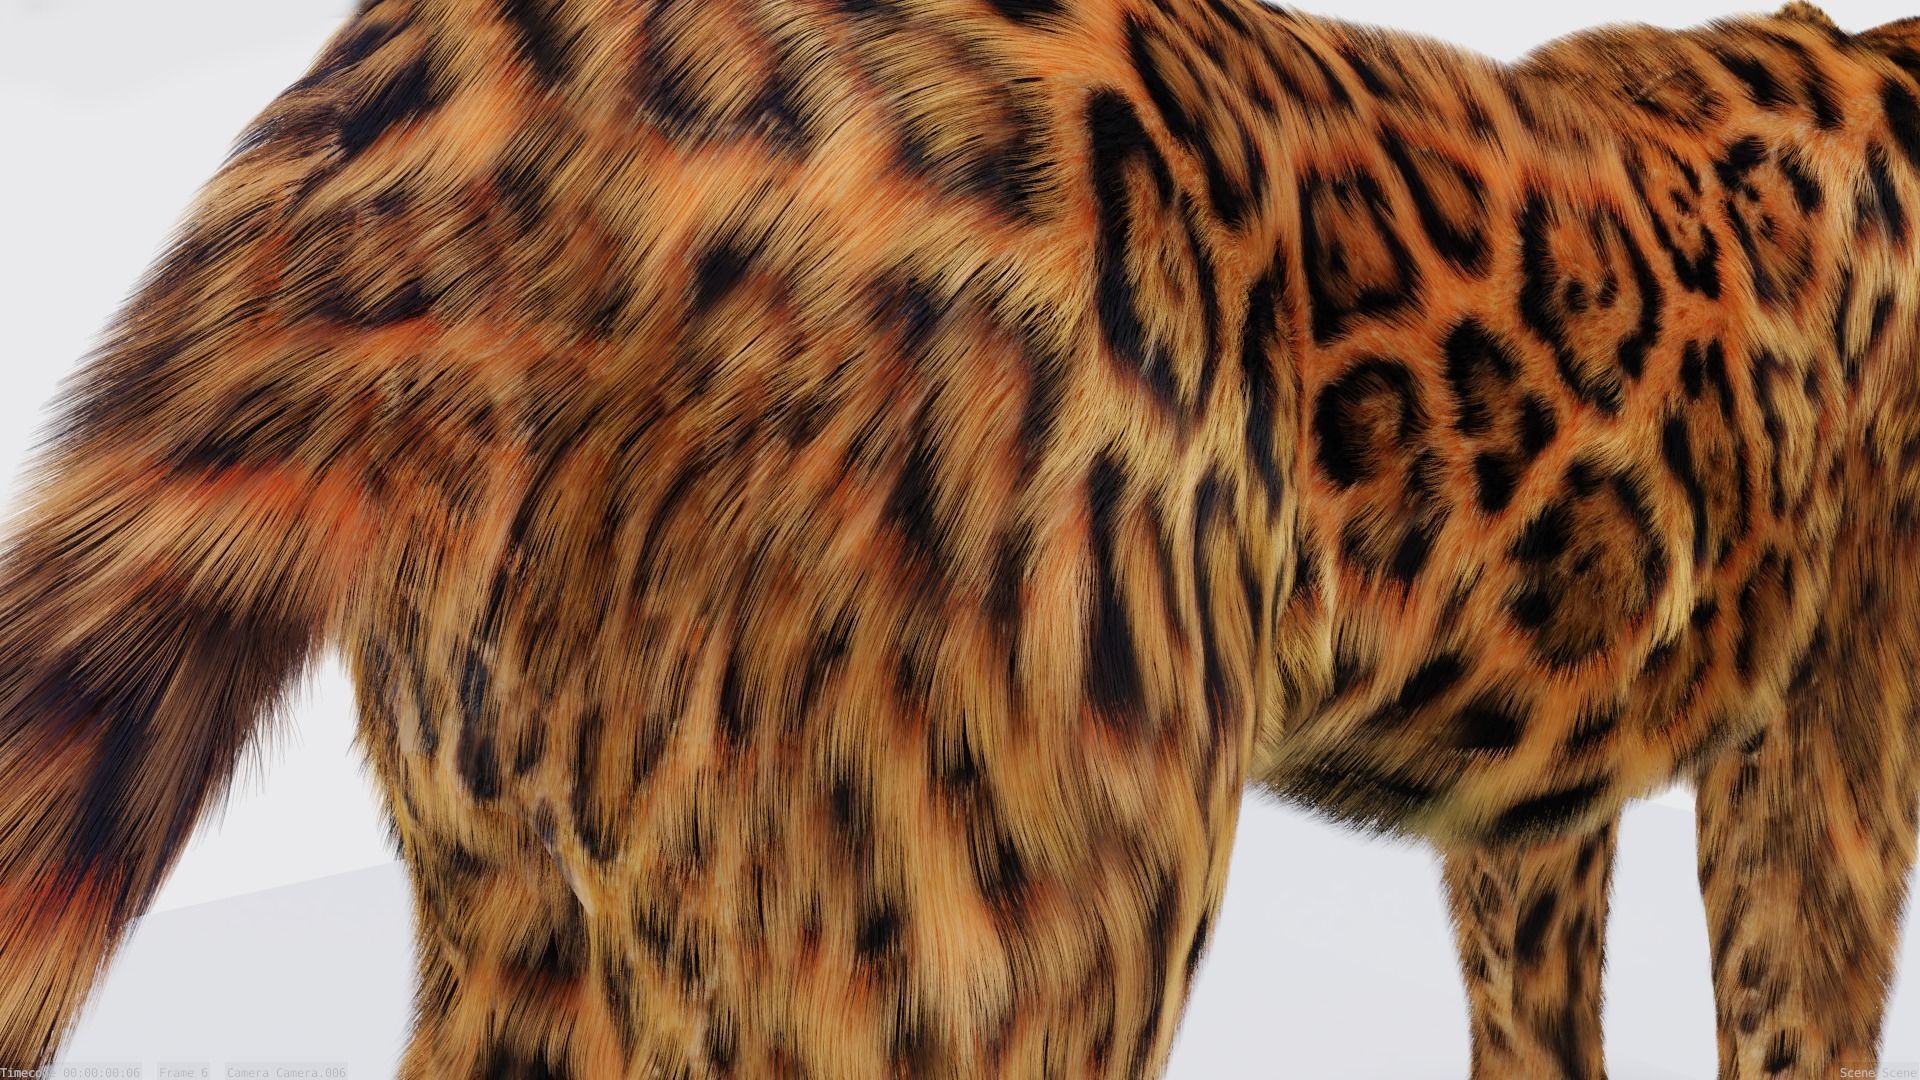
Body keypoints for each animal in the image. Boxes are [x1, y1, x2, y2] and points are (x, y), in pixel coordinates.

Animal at [1, 0, 1917, 1076]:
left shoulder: (1544, 805)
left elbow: (1540, 1006)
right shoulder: (1829, 739)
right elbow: (1795, 1007)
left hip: (537, 916)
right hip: (990, 925)